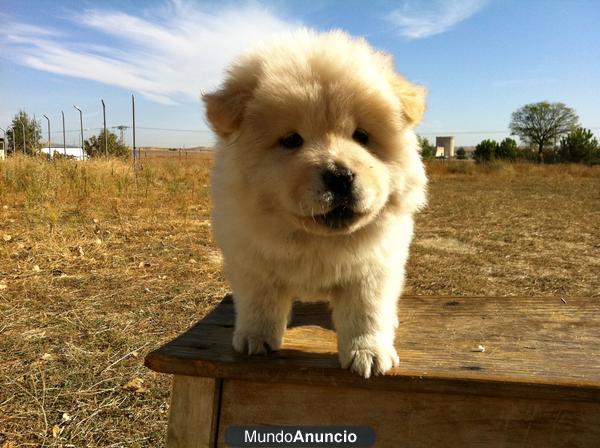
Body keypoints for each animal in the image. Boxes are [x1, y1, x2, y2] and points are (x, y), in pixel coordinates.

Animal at [204, 29, 428, 378]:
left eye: (362, 136)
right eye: (291, 140)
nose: (340, 176)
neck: (316, 240)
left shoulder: (373, 267)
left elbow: (366, 312)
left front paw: (369, 354)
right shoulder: (252, 261)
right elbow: (260, 303)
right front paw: (256, 338)